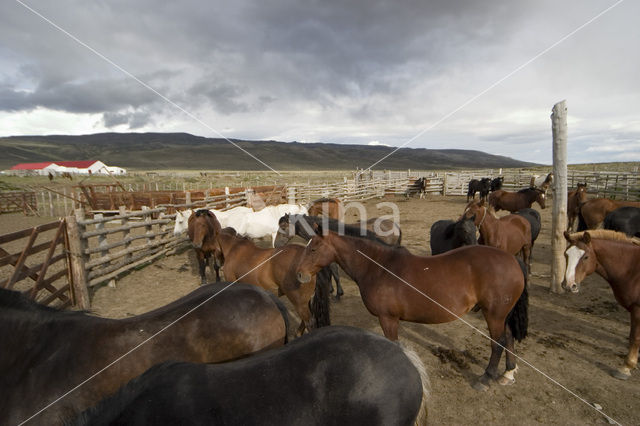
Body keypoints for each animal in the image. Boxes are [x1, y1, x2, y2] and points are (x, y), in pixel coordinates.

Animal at [298, 230, 528, 390]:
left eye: (314, 249)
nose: (299, 274)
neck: (378, 267)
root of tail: (512, 259)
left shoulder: (388, 319)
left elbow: (394, 344)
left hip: (493, 315)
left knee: (498, 343)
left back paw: (486, 378)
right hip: (501, 315)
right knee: (509, 336)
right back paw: (508, 373)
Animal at [564, 231, 640, 382]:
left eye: (586, 257)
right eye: (566, 254)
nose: (569, 285)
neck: (633, 270)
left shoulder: (637, 310)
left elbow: (634, 338)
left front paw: (626, 367)